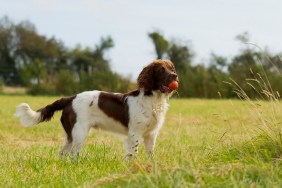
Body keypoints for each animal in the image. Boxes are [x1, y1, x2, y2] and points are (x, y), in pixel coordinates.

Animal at [14, 59, 178, 159]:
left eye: (171, 68)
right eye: (161, 70)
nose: (175, 76)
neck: (153, 99)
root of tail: (70, 98)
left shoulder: (151, 134)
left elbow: (150, 155)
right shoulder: (134, 134)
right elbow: (134, 155)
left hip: (72, 135)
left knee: (63, 152)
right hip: (79, 133)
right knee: (73, 154)